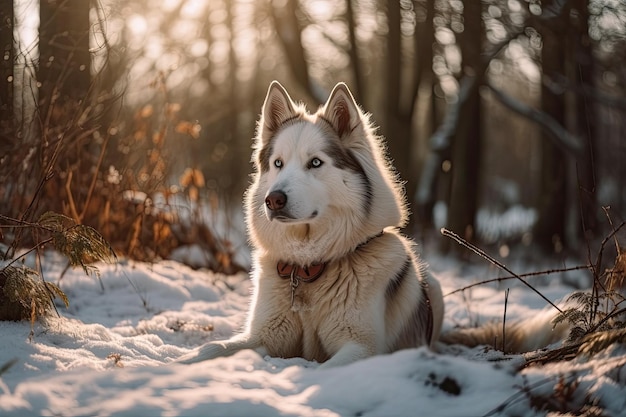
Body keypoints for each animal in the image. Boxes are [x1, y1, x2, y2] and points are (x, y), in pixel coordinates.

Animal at [177, 80, 444, 368]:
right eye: (278, 163)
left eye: (315, 162)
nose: (273, 200)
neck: (308, 268)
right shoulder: (263, 335)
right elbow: (213, 347)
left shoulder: (362, 347)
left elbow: (326, 369)